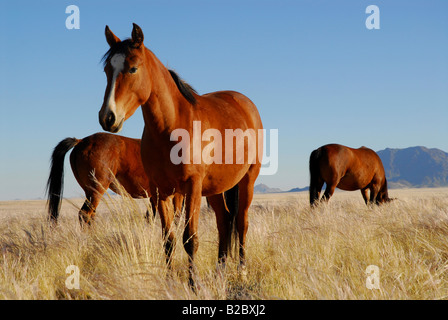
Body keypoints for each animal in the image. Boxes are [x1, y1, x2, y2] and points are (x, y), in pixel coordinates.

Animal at [45, 132, 184, 225]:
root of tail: (81, 141)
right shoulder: (176, 194)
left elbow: (151, 217)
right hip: (96, 190)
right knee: (85, 215)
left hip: (89, 192)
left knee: (90, 215)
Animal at [97, 23, 262, 286]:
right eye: (106, 70)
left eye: (132, 68)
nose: (108, 117)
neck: (171, 127)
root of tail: (245, 103)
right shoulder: (160, 191)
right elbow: (168, 240)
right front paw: (169, 282)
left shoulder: (191, 187)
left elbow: (190, 239)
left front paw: (193, 285)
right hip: (215, 188)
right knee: (224, 222)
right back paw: (220, 271)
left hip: (247, 181)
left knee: (241, 223)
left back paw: (242, 272)